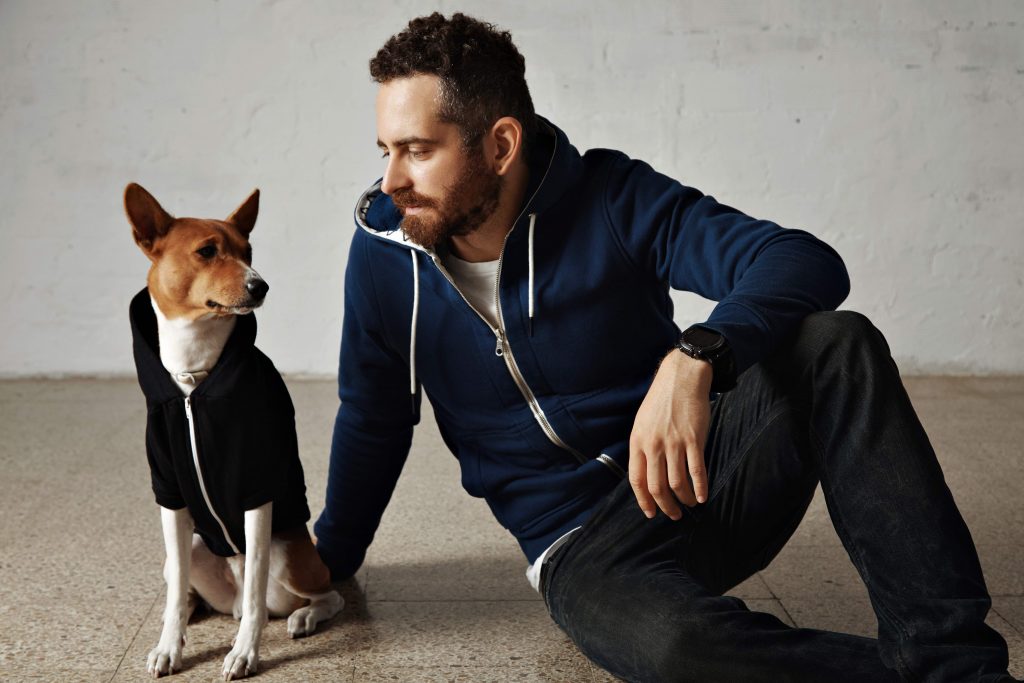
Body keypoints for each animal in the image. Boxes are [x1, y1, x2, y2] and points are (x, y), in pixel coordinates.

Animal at [124, 184, 344, 679]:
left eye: (249, 252)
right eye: (207, 251)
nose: (260, 285)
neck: (194, 377)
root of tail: (232, 595)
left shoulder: (256, 491)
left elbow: (259, 587)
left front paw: (245, 653)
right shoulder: (170, 493)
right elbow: (174, 592)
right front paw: (169, 645)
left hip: (292, 558)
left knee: (322, 595)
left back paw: (302, 616)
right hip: (192, 548)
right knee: (187, 586)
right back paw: (187, 613)